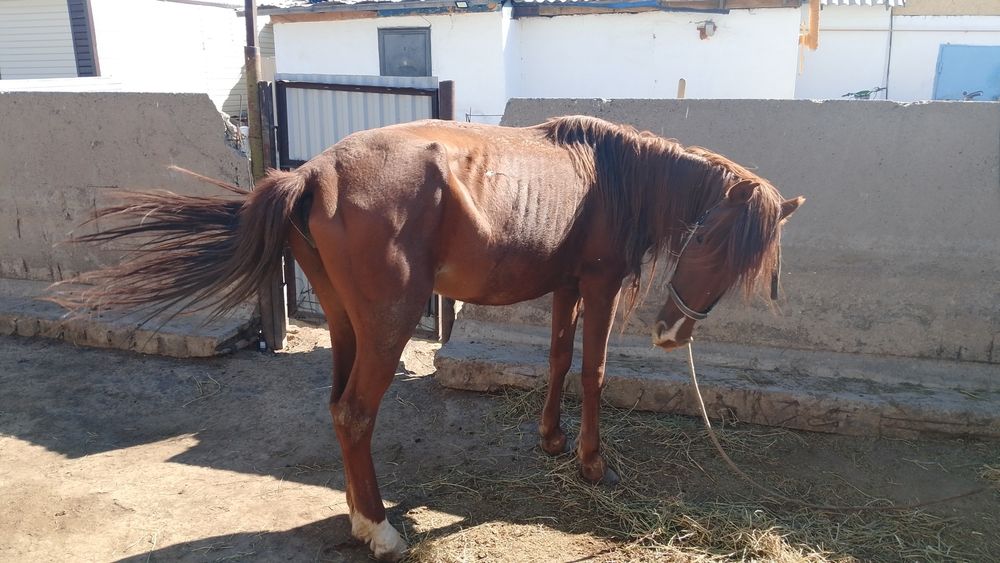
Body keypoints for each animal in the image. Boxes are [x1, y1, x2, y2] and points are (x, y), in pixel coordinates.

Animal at [58, 115, 803, 561]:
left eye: (740, 262)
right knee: (356, 412)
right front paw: (593, 463)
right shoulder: (596, 285)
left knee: (339, 408)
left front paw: (552, 440)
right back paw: (383, 529)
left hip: (349, 325)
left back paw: (360, 516)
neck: (611, 177)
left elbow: (559, 360)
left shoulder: (565, 286)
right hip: (387, 325)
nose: (672, 334)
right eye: (706, 239)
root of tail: (312, 174)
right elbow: (592, 372)